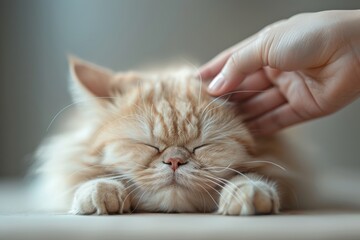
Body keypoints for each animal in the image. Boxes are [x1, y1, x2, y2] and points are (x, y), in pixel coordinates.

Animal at [35, 56, 306, 216]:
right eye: (149, 146)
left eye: (201, 146)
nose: (174, 161)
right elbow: (93, 180)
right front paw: (100, 193)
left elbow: (250, 179)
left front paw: (249, 193)